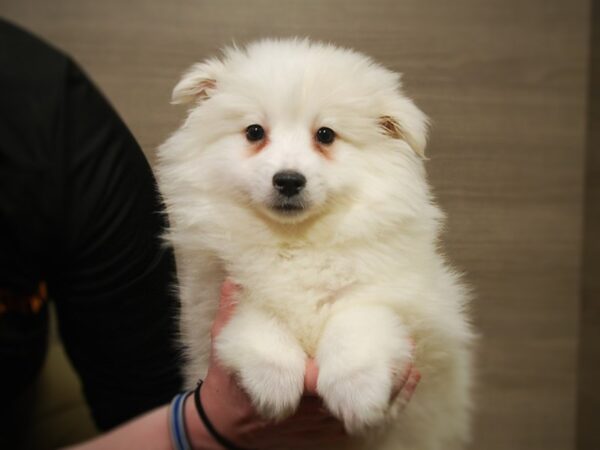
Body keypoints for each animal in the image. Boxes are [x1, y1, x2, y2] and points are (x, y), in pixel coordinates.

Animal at [158, 39, 474, 450]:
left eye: (325, 135)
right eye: (254, 132)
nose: (289, 180)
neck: (296, 242)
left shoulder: (402, 293)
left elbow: (356, 319)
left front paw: (357, 391)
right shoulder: (216, 294)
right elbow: (258, 317)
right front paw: (273, 383)